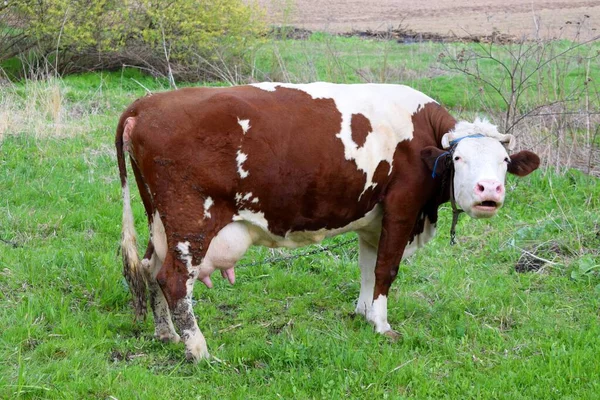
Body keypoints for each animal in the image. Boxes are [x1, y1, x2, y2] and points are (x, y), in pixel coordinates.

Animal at [113, 83, 540, 360]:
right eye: (459, 159)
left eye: (504, 161)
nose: (489, 190)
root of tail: (146, 104)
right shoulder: (402, 207)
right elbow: (386, 269)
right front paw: (383, 327)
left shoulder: (372, 219)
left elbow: (368, 267)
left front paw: (364, 313)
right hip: (190, 220)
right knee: (173, 279)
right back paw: (198, 349)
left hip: (160, 220)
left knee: (150, 269)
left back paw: (166, 334)